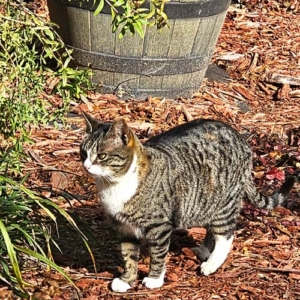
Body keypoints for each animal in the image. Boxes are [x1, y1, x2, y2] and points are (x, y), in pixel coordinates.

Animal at [79, 112, 296, 292]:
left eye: (101, 156)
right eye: (83, 153)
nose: (86, 165)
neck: (115, 184)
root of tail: (242, 141)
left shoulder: (159, 227)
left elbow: (158, 254)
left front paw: (154, 279)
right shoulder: (124, 228)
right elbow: (129, 256)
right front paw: (127, 280)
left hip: (224, 204)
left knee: (225, 236)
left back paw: (212, 264)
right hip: (207, 202)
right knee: (211, 229)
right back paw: (204, 251)